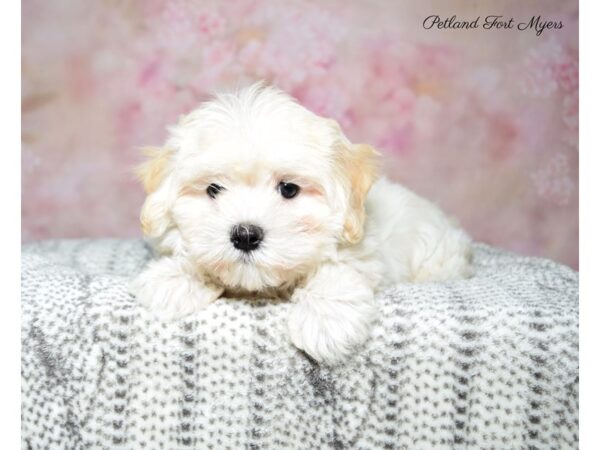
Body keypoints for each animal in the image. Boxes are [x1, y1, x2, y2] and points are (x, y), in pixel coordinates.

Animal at [131, 81, 474, 366]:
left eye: (289, 189)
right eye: (213, 189)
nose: (245, 235)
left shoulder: (366, 251)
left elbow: (340, 270)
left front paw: (325, 321)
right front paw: (175, 277)